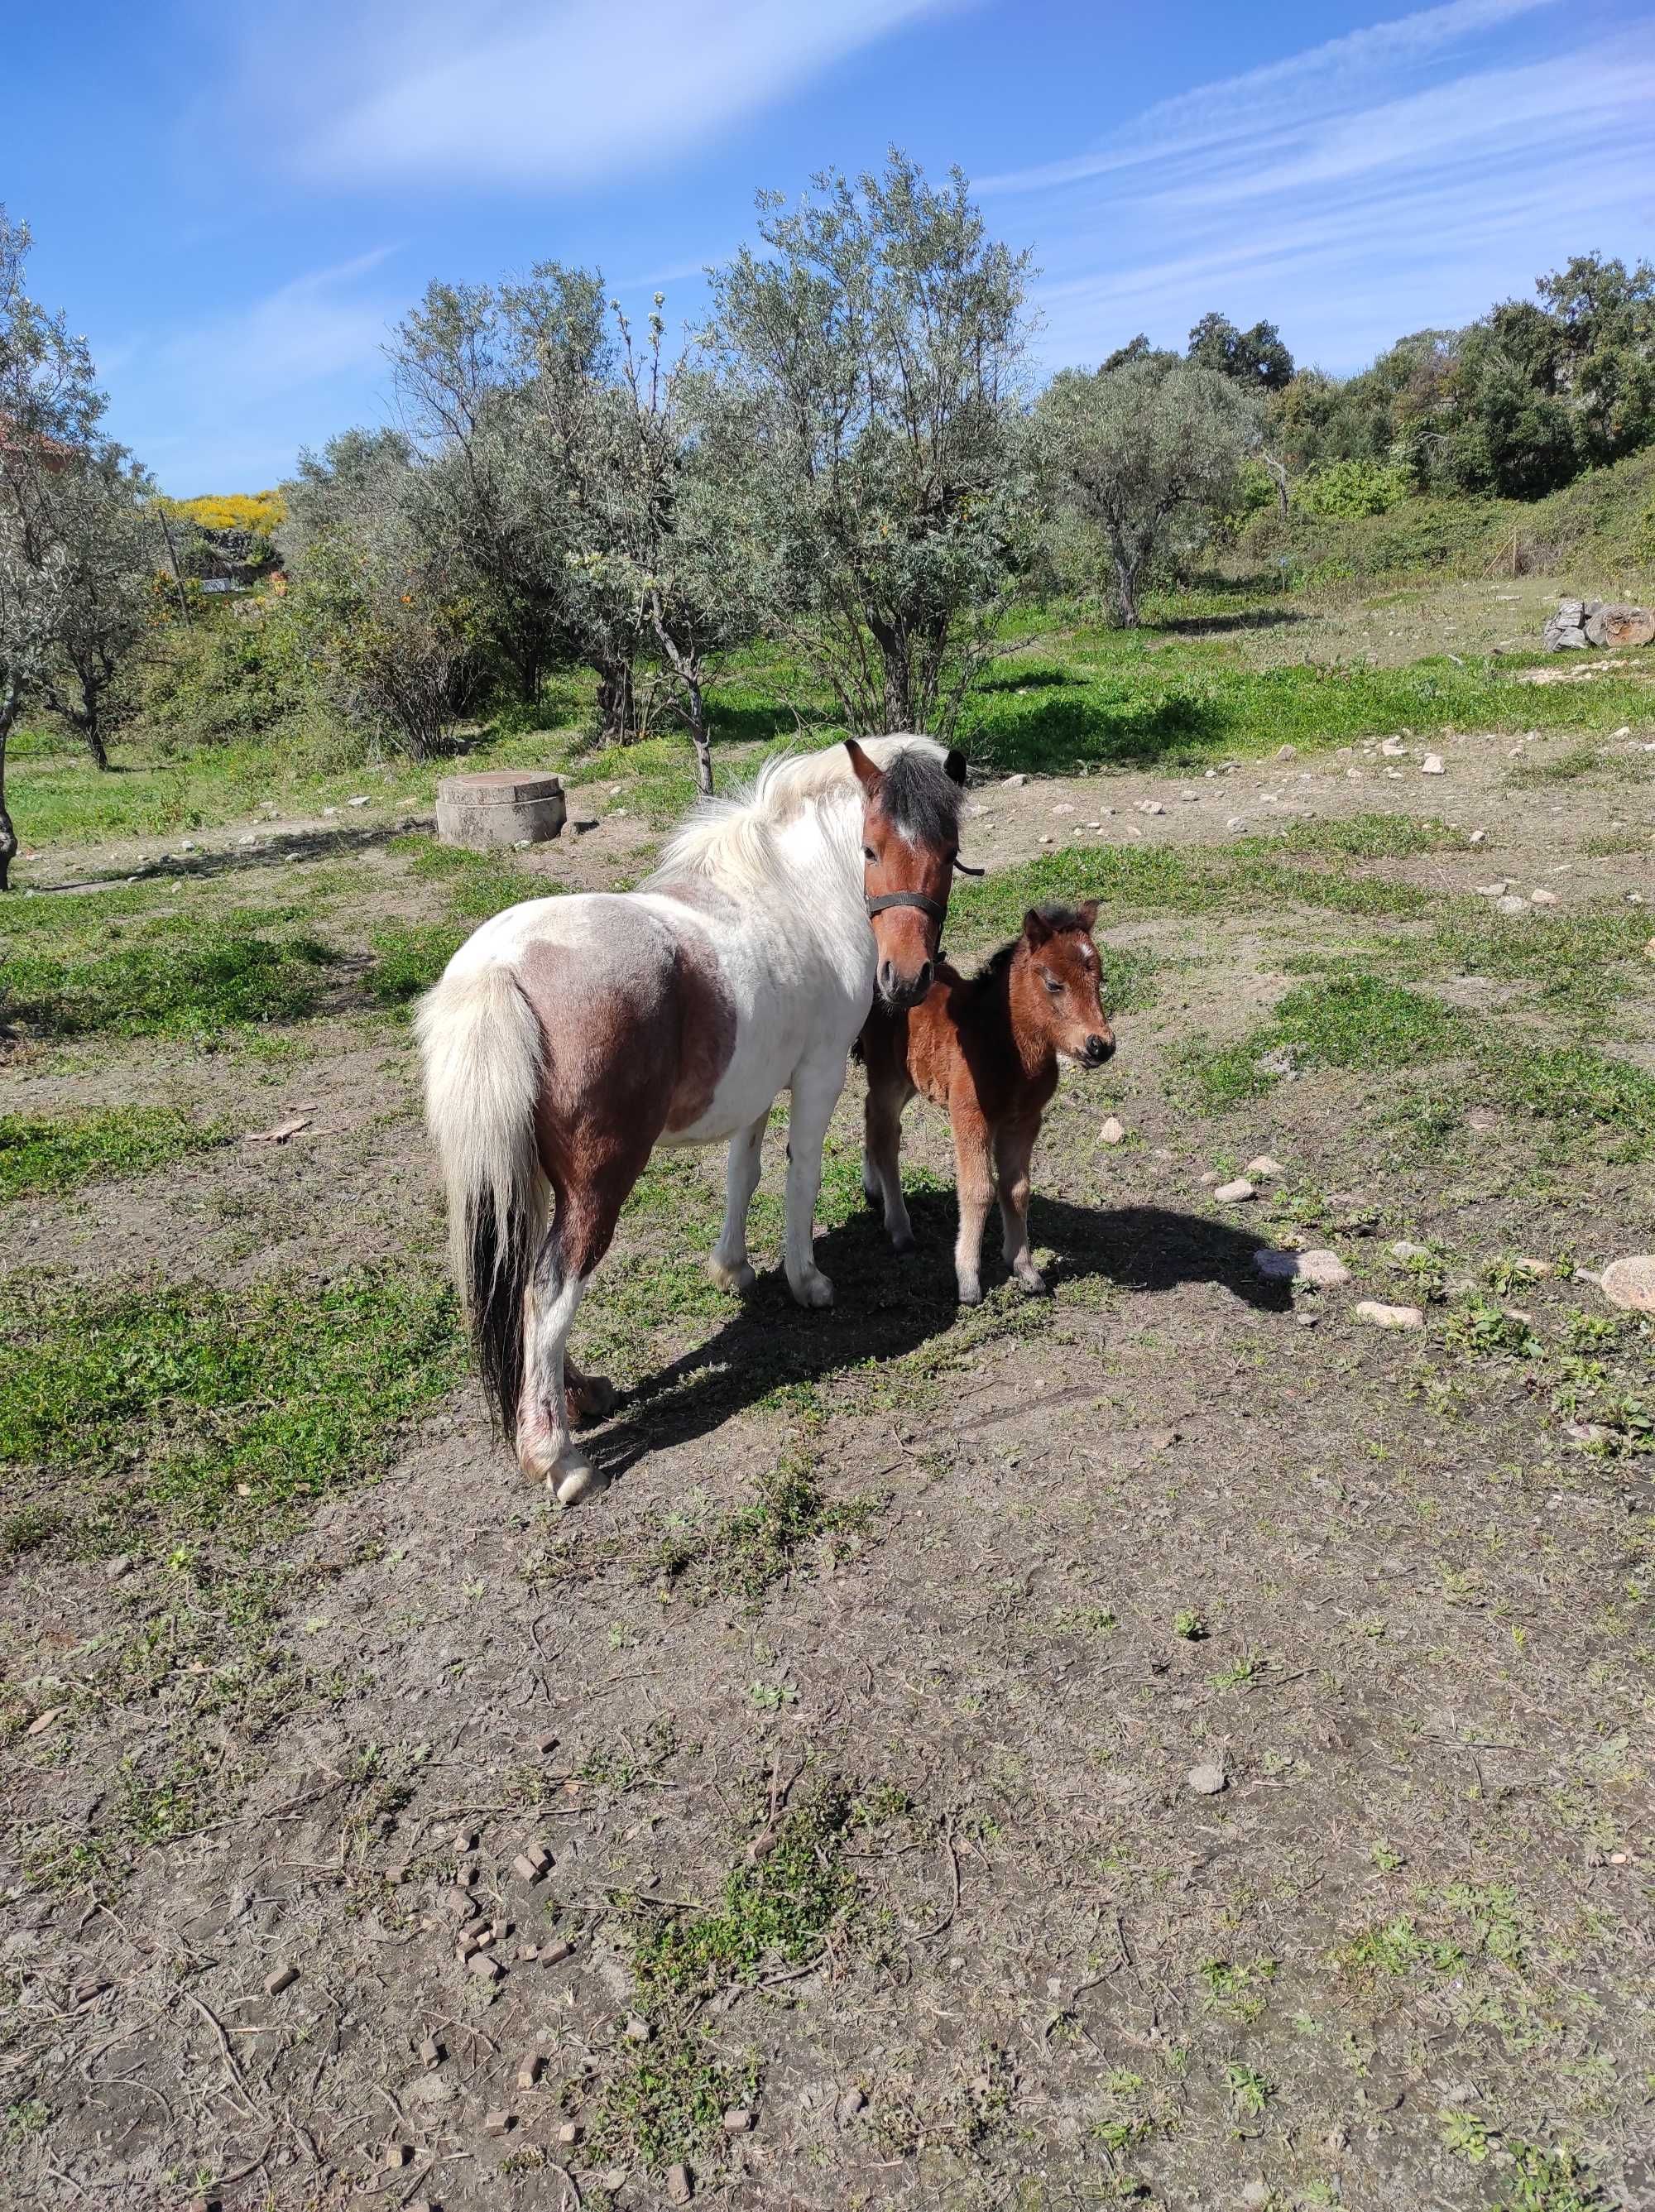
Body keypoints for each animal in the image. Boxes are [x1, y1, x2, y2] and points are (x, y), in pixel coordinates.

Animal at [415, 734, 969, 1513]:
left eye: (948, 850)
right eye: (870, 846)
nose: (908, 978)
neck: (797, 894)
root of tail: (500, 968)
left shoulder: (756, 1089)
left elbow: (746, 1171)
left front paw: (733, 1267)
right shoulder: (819, 1075)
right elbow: (801, 1178)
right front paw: (806, 1281)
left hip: (529, 1181)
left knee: (527, 1283)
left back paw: (579, 1395)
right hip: (598, 1184)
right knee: (551, 1287)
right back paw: (559, 1456)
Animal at [858, 902, 1119, 1300]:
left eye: (1100, 979)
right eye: (1054, 984)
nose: (1100, 1046)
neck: (1006, 1046)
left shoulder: (1025, 1120)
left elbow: (1017, 1190)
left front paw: (1025, 1268)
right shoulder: (970, 1115)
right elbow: (979, 1190)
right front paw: (968, 1279)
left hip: (911, 1081)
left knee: (872, 1116)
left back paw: (875, 1193)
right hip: (888, 1076)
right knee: (885, 1137)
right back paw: (901, 1229)